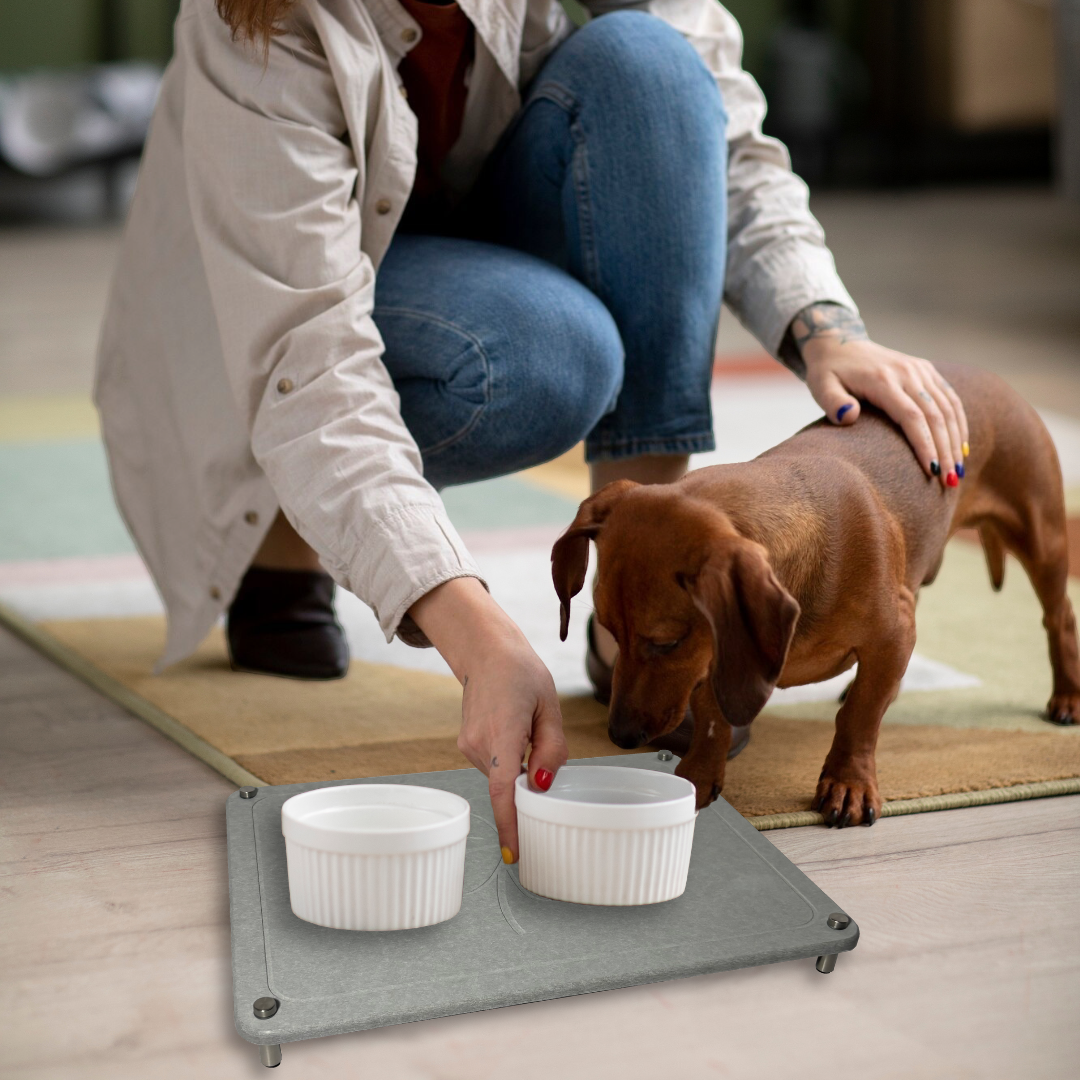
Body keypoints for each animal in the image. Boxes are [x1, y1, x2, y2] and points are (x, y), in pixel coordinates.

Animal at [552, 365, 1075, 825]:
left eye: (666, 643)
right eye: (608, 630)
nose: (620, 735)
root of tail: (989, 377)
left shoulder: (892, 634)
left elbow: (860, 717)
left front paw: (849, 783)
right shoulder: (719, 657)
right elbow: (714, 718)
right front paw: (698, 777)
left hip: (1042, 537)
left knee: (1059, 617)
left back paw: (1067, 696)